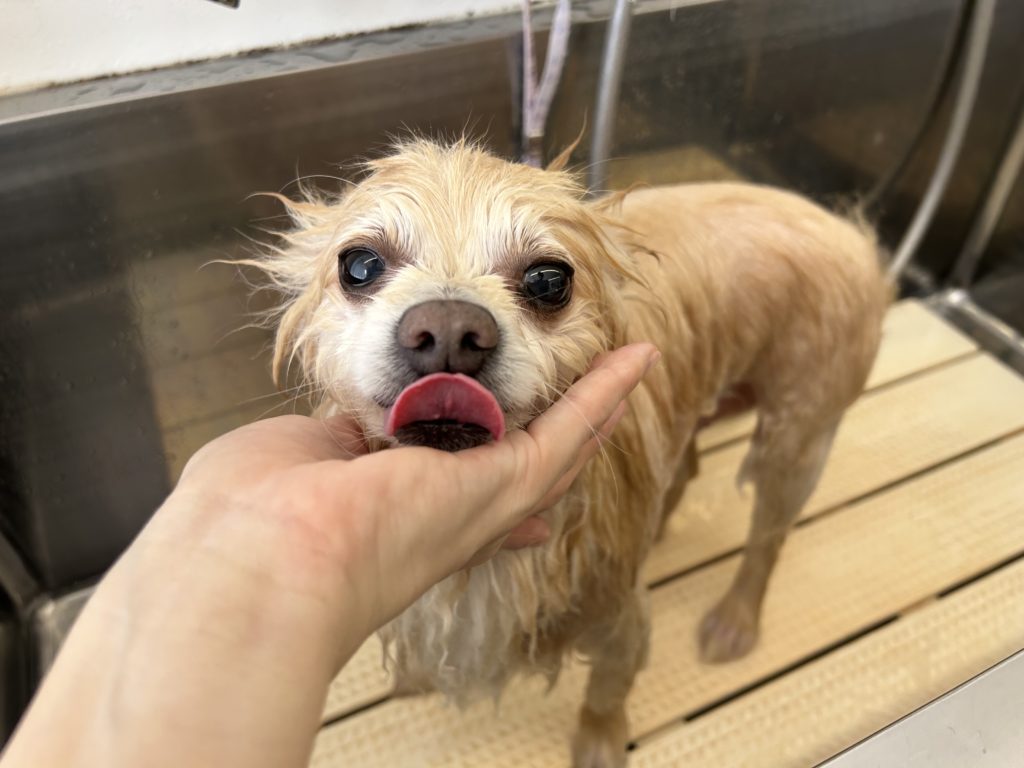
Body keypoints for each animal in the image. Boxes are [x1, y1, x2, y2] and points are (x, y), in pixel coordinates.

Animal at [252, 138, 889, 767]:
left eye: (547, 280)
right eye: (359, 265)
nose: (449, 328)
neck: (489, 569)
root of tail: (848, 230)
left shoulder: (622, 619)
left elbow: (607, 693)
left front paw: (599, 743)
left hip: (797, 433)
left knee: (768, 538)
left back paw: (734, 618)